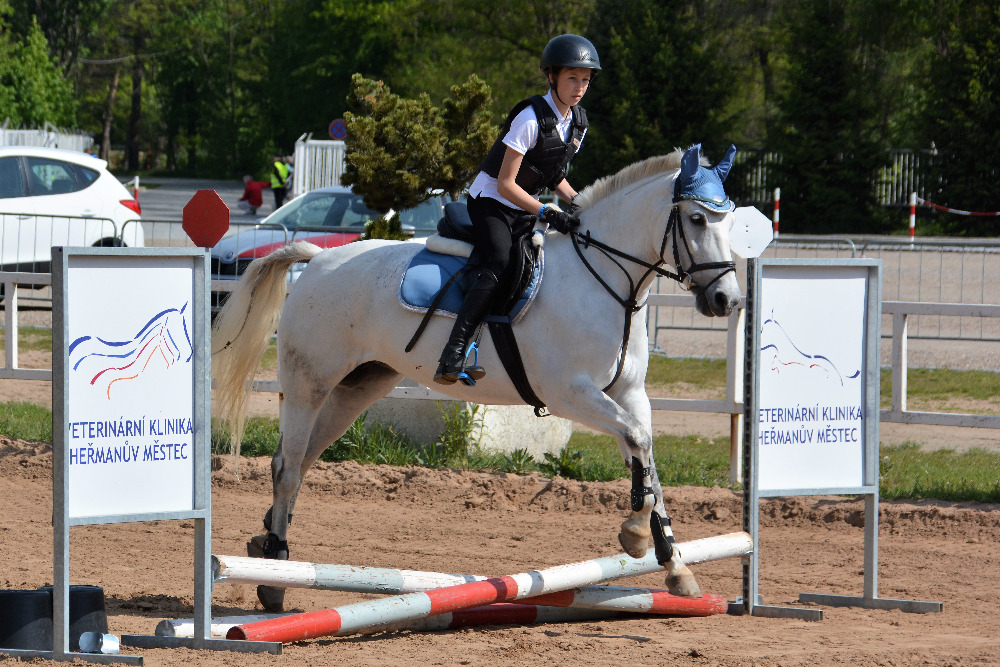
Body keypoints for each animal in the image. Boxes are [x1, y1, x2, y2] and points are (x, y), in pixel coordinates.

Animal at [211, 146, 744, 612]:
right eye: (697, 219)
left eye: (730, 219)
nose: (727, 300)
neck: (605, 280)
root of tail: (316, 258)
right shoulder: (572, 393)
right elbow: (638, 444)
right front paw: (634, 534)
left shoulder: (628, 395)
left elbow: (646, 457)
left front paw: (674, 564)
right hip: (309, 384)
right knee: (288, 466)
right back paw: (275, 576)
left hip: (359, 387)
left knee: (297, 463)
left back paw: (265, 547)